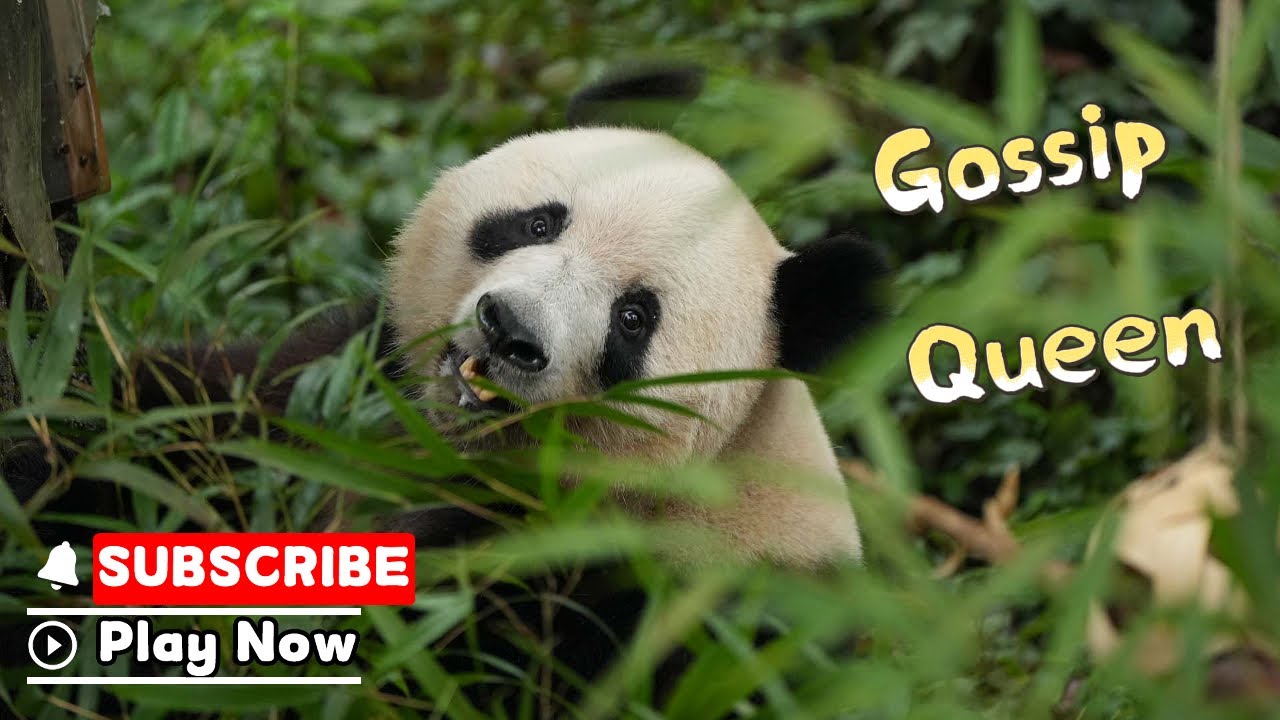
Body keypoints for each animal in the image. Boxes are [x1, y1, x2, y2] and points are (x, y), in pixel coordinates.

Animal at [6, 66, 887, 712]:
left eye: (634, 319)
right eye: (539, 222)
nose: (508, 330)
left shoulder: (640, 604)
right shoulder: (340, 386)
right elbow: (178, 428)